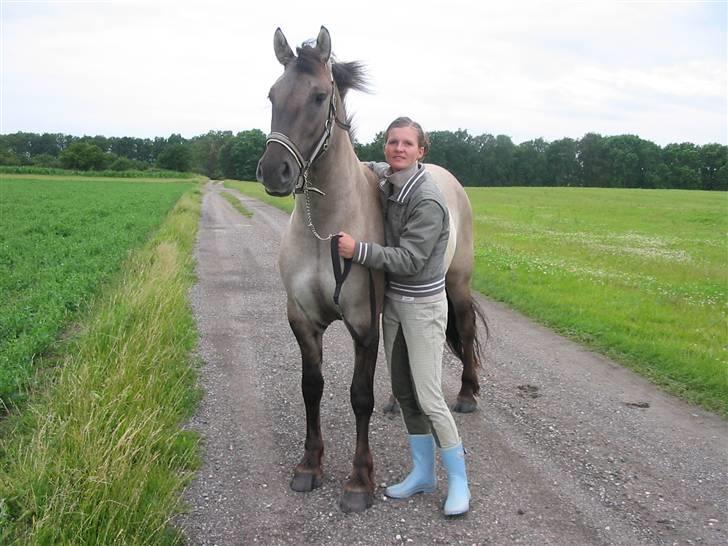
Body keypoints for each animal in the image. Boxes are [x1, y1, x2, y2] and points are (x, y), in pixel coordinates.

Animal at [253, 25, 486, 510]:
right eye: (272, 95)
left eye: (320, 96)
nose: (275, 171)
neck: (325, 231)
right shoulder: (303, 321)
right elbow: (311, 388)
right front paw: (309, 466)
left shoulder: (362, 323)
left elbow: (359, 395)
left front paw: (359, 481)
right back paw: (399, 403)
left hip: (456, 285)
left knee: (465, 327)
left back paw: (467, 394)